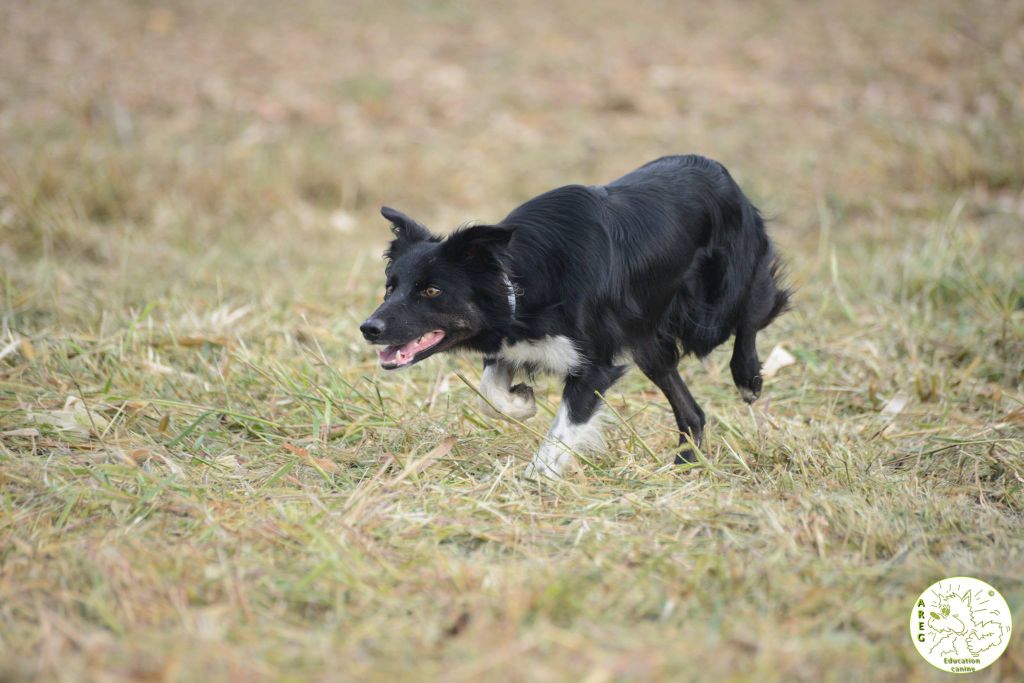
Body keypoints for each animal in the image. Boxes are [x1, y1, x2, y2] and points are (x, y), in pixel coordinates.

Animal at [362, 155, 790, 479]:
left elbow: (563, 429)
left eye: (432, 291)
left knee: (755, 308)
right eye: (390, 287)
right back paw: (685, 462)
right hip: (649, 345)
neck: (521, 281)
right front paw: (522, 402)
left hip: (711, 309)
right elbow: (490, 395)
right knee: (692, 411)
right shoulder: (514, 341)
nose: (368, 329)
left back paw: (748, 377)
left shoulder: (594, 364)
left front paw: (537, 477)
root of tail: (719, 171)